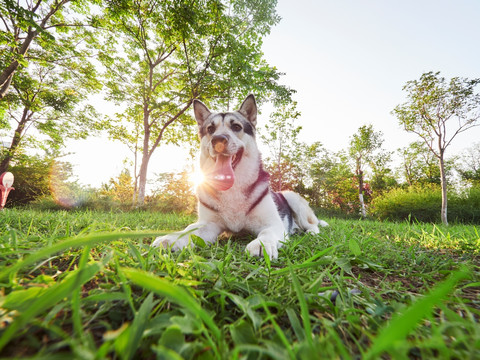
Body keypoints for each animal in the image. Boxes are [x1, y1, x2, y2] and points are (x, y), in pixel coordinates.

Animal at [152, 94, 328, 258]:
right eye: (210, 129)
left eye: (236, 127)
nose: (218, 140)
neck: (233, 187)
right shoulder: (208, 224)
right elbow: (188, 230)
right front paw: (171, 239)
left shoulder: (273, 224)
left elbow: (267, 233)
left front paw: (262, 244)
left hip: (292, 197)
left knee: (313, 225)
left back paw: (310, 232)